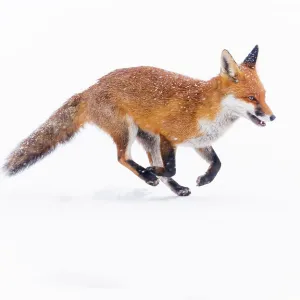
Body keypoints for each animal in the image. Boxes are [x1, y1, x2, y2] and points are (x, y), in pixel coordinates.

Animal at [2, 45, 274, 196]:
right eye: (251, 98)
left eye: (264, 95)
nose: (272, 116)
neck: (204, 108)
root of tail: (90, 88)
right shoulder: (168, 136)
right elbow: (171, 167)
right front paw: (153, 172)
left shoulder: (198, 141)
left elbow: (217, 164)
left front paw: (204, 179)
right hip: (128, 131)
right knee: (123, 158)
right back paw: (147, 174)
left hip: (146, 138)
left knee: (143, 163)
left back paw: (174, 187)